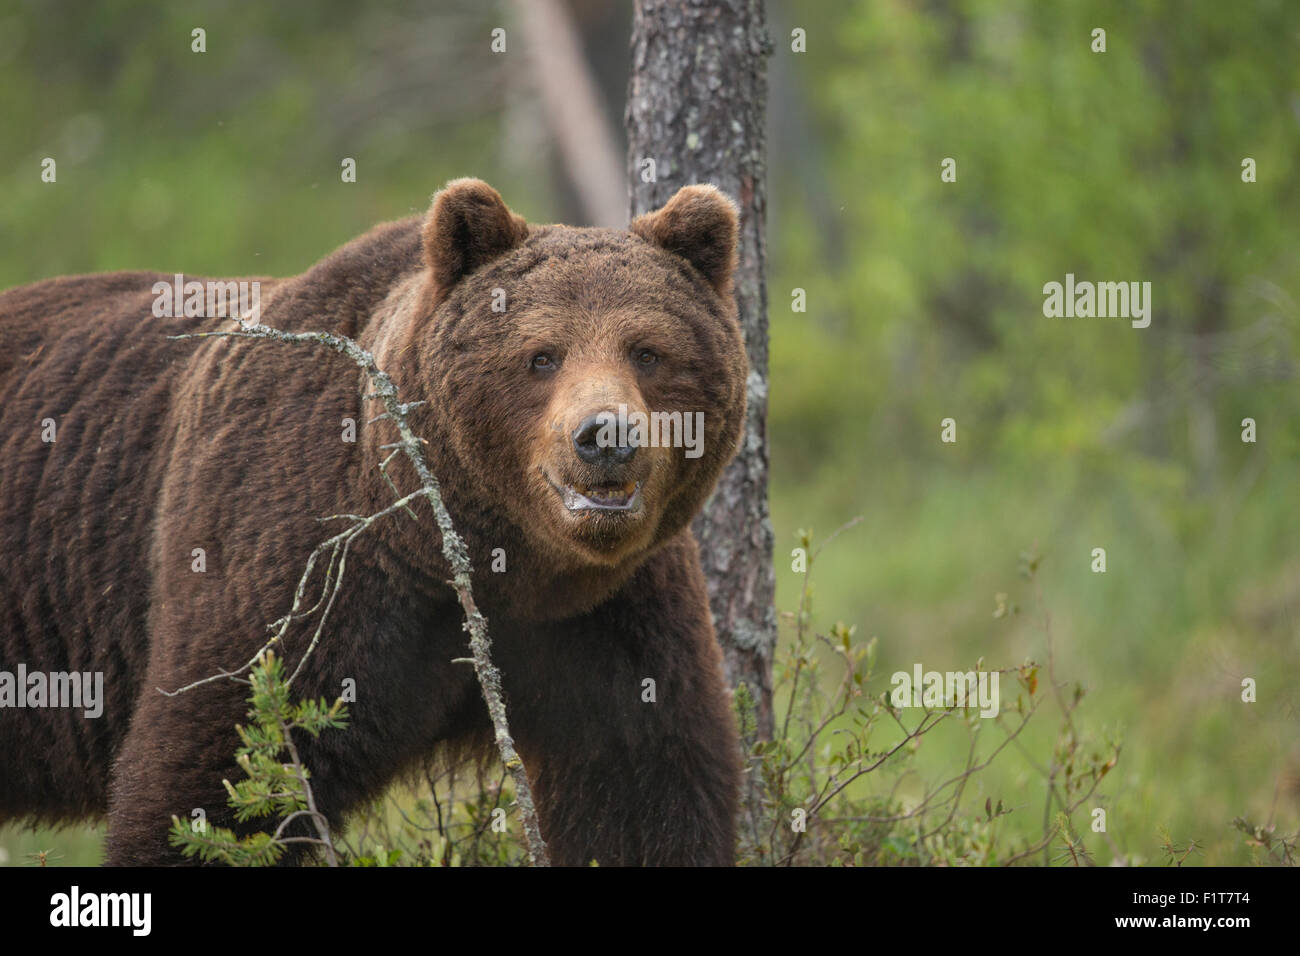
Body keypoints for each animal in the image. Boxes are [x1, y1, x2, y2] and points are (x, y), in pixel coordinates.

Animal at [0, 178, 748, 868]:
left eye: (647, 351)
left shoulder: (613, 616)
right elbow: (213, 781)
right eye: (542, 354)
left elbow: (642, 793)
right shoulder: (299, 569)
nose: (606, 435)